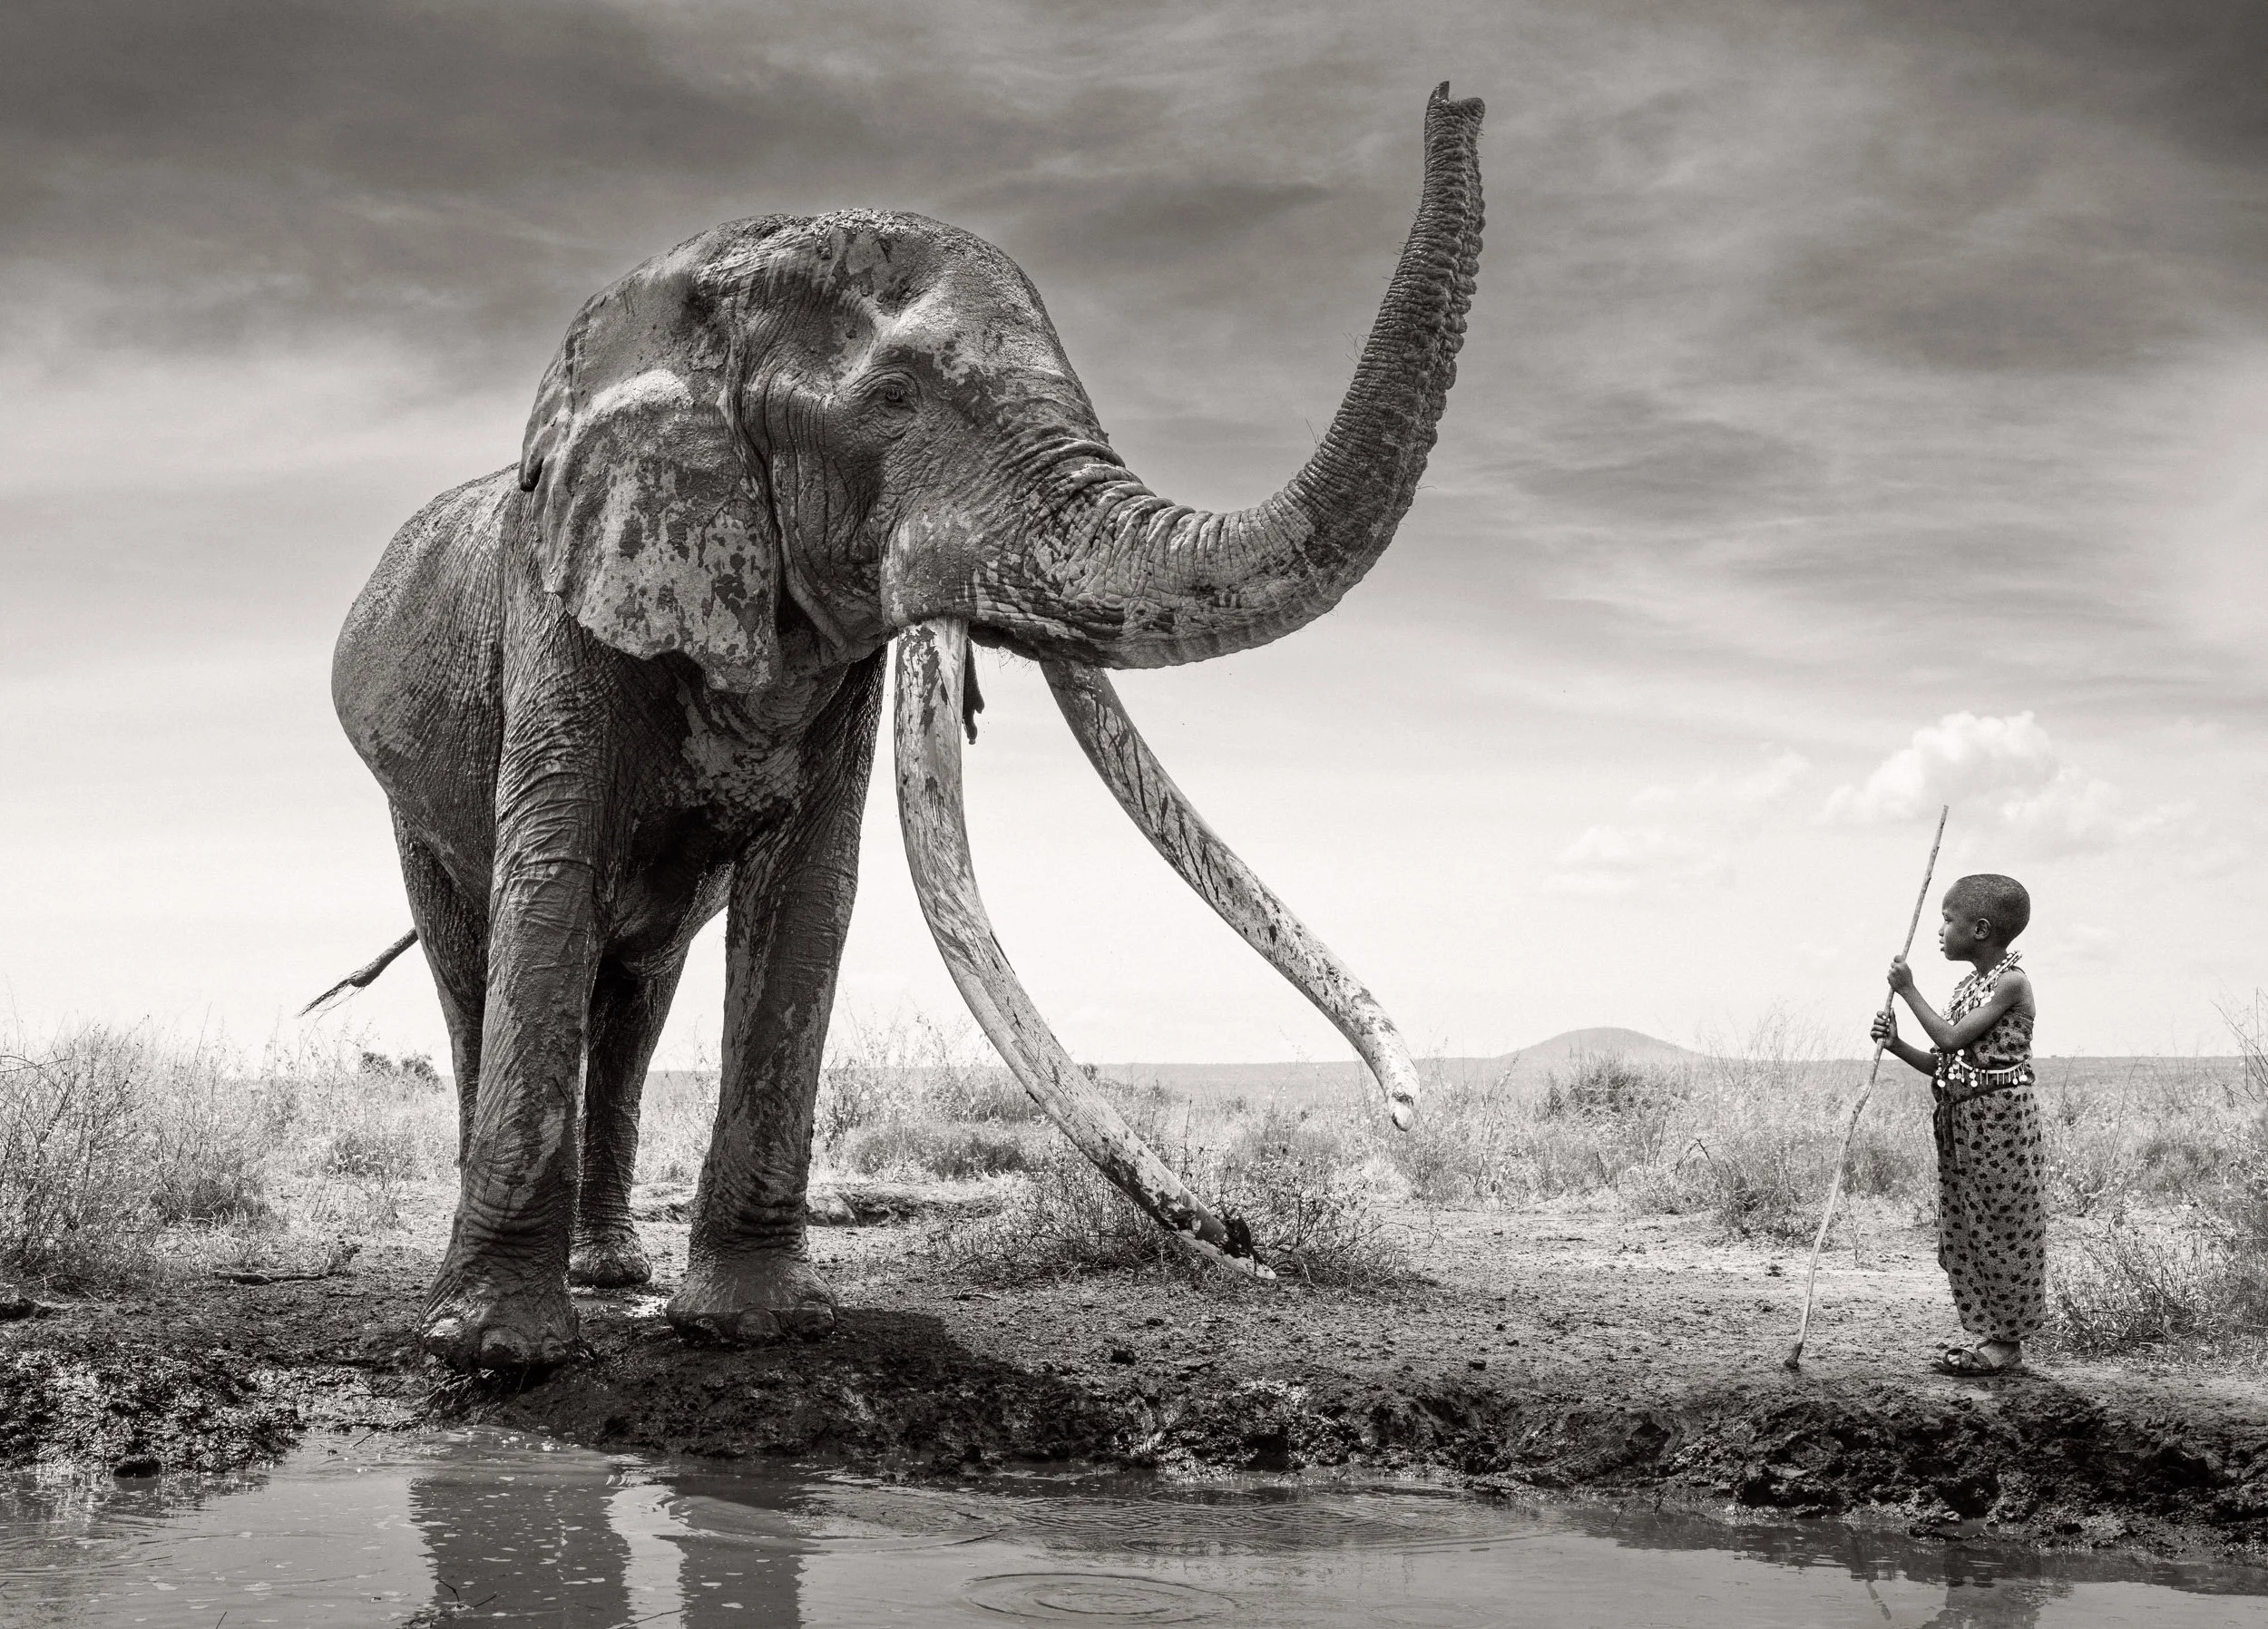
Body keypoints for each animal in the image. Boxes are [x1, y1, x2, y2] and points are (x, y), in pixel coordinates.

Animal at [325, 85, 1484, 1369]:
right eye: (889, 405)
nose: (1239, 1230)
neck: (696, 300)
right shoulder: (565, 598)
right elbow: (551, 874)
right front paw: (494, 1353)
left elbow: (807, 898)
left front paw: (755, 1329)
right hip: (408, 795)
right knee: (477, 960)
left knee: (637, 994)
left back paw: (613, 1270)